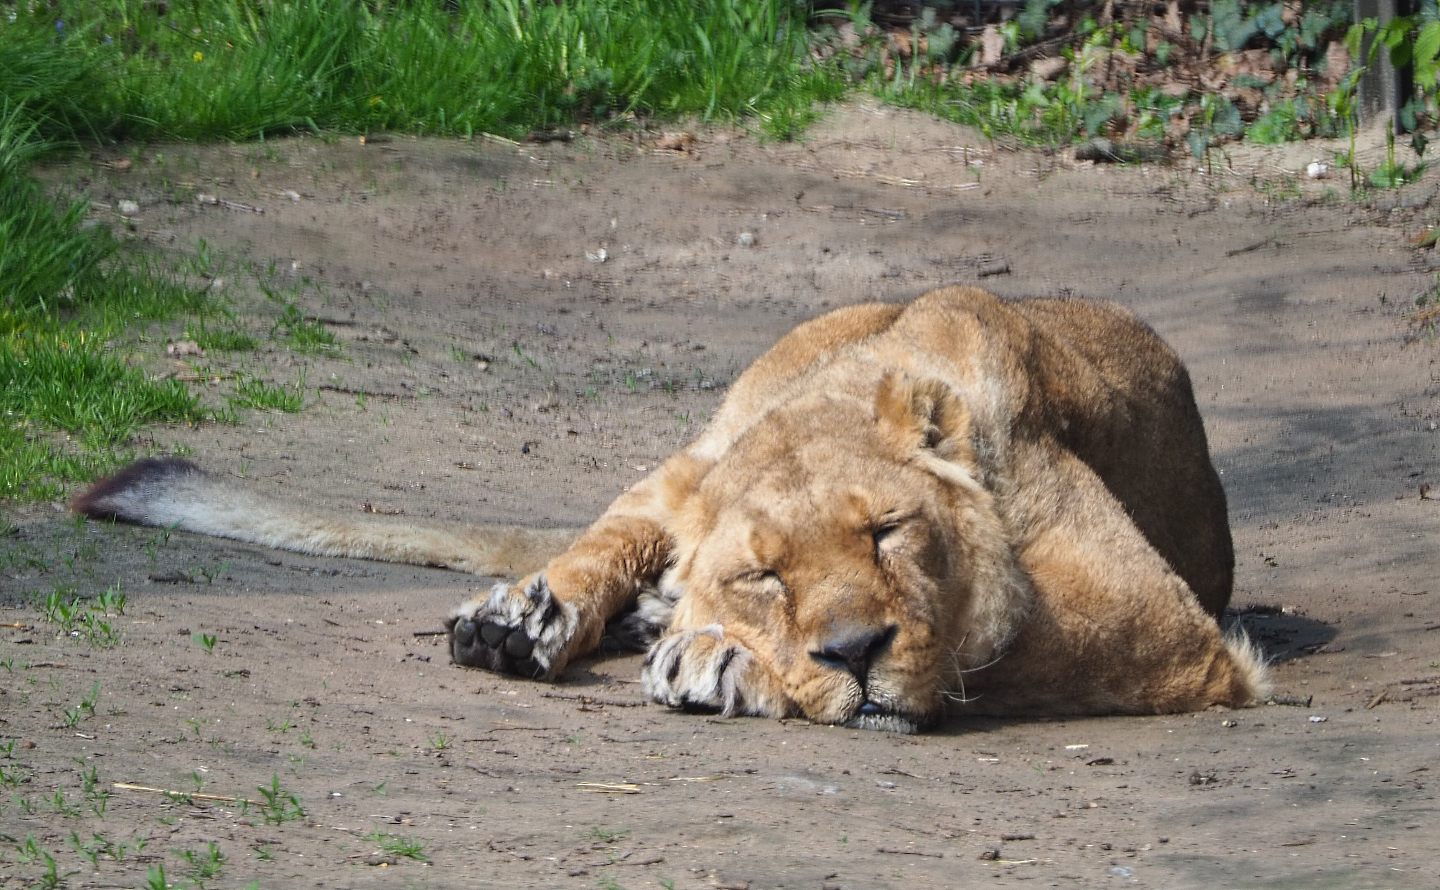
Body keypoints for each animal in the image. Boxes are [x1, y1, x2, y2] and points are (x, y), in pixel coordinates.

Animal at [74, 286, 1266, 733]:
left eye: (888, 530)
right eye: (766, 572)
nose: (856, 651)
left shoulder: (1165, 623)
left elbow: (990, 647)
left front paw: (726, 658)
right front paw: (721, 642)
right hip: (683, 457)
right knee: (607, 538)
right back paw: (524, 618)